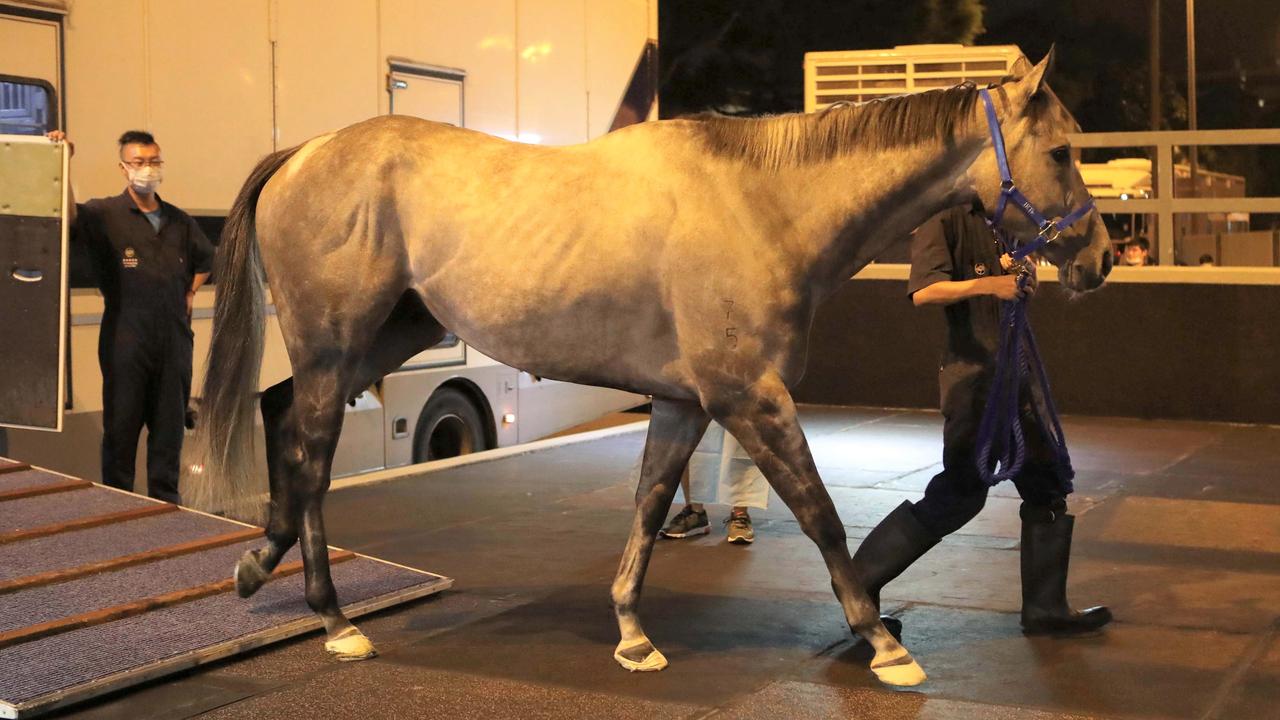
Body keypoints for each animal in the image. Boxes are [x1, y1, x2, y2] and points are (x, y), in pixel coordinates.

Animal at [185, 51, 1116, 681]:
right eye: (1063, 152)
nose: (1101, 259)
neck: (764, 205)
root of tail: (304, 152)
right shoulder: (750, 398)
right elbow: (821, 515)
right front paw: (882, 643)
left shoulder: (682, 402)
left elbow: (647, 506)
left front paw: (632, 636)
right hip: (336, 341)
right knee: (310, 456)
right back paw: (334, 619)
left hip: (380, 338)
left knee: (291, 433)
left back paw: (260, 569)